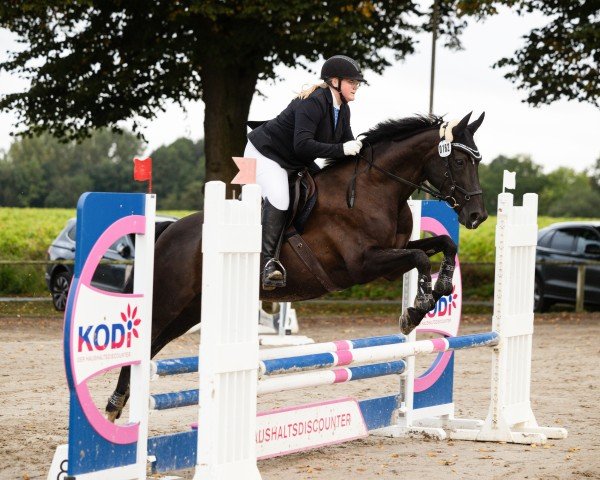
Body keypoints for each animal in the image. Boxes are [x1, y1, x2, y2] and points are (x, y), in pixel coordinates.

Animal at [104, 111, 488, 420]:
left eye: (477, 162)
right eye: (458, 162)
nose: (477, 216)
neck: (376, 187)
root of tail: (169, 230)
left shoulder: (392, 260)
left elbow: (444, 245)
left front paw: (440, 289)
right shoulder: (364, 263)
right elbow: (422, 258)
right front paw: (417, 308)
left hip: (189, 310)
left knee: (152, 347)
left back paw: (119, 407)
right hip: (169, 301)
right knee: (143, 343)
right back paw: (114, 407)